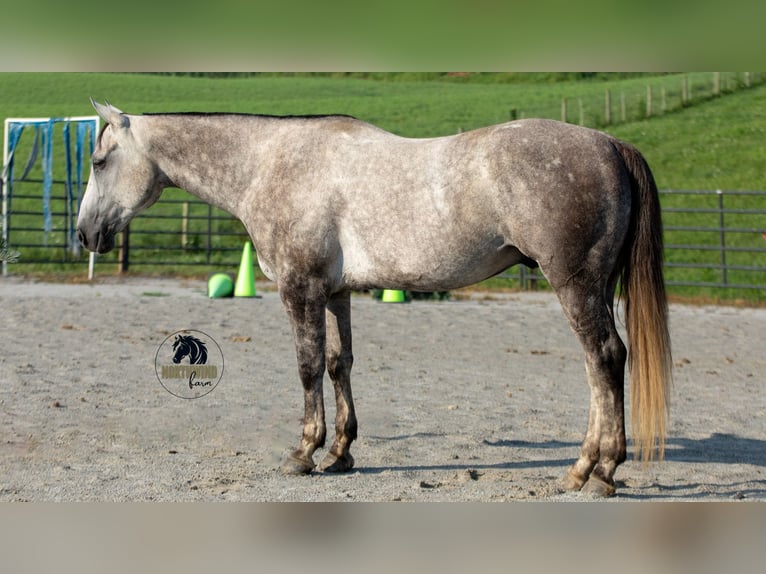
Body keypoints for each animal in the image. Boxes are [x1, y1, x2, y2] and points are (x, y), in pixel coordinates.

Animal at [77, 99, 672, 497]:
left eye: (99, 162)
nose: (83, 235)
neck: (272, 164)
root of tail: (609, 145)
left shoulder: (300, 289)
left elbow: (307, 366)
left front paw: (304, 452)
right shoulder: (336, 292)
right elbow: (339, 364)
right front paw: (340, 453)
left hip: (575, 285)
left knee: (606, 358)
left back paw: (603, 472)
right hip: (591, 288)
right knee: (597, 368)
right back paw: (581, 469)